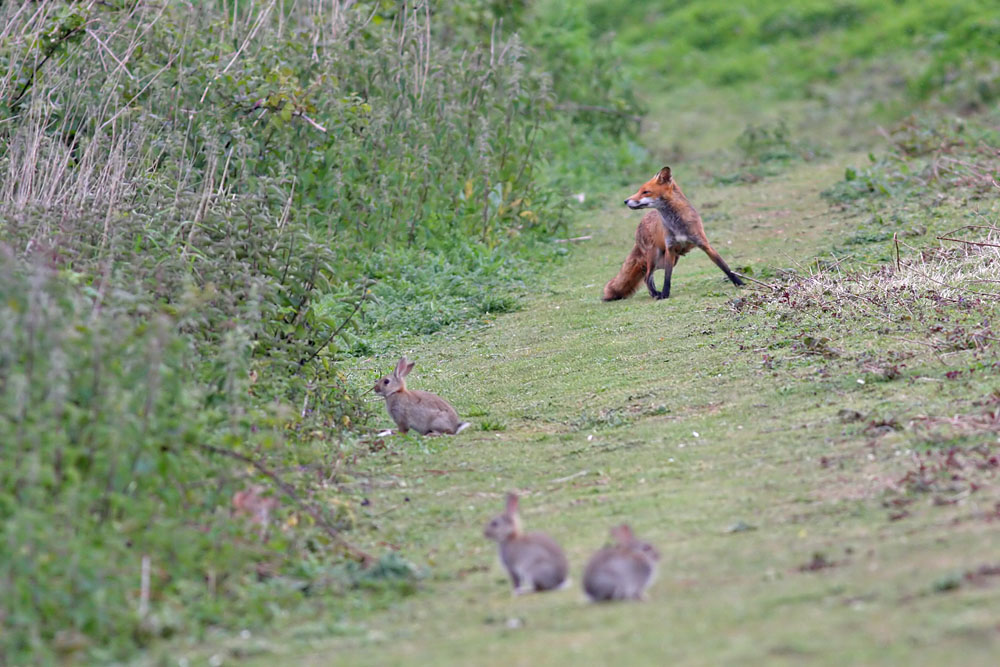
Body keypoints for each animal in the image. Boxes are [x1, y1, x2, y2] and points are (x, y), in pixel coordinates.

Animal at [603, 166, 743, 301]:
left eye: (645, 192)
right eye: (639, 191)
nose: (625, 201)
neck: (677, 224)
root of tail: (640, 225)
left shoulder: (704, 244)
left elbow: (724, 266)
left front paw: (739, 283)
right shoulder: (670, 248)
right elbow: (667, 277)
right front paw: (665, 294)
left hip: (666, 259)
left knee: (647, 276)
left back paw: (654, 293)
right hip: (655, 257)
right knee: (647, 277)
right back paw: (655, 294)